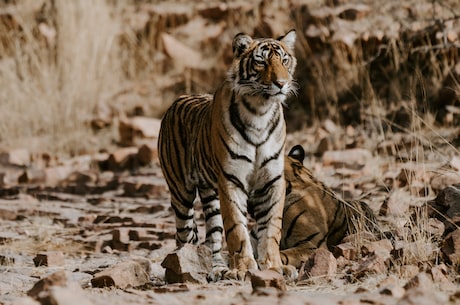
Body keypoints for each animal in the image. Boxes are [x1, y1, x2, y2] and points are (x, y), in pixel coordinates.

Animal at [158, 29, 298, 280]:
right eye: (261, 61)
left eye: (284, 60)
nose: (281, 84)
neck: (261, 111)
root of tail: (177, 101)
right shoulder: (231, 180)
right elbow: (237, 229)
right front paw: (244, 268)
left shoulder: (272, 180)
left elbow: (272, 228)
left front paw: (274, 266)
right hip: (181, 193)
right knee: (184, 236)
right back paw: (183, 270)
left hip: (211, 195)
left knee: (212, 237)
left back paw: (218, 270)